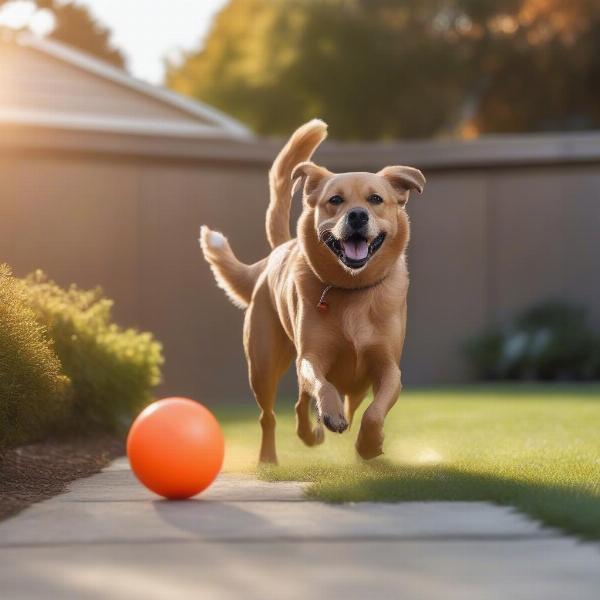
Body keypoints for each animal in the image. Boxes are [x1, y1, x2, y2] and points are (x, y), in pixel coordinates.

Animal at [199, 119, 424, 462]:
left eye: (375, 199)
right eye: (335, 200)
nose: (357, 215)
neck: (353, 290)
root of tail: (278, 251)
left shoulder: (387, 367)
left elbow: (376, 410)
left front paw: (369, 443)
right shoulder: (312, 357)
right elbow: (320, 384)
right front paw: (329, 415)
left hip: (351, 384)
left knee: (336, 406)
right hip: (263, 366)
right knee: (276, 413)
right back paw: (275, 455)